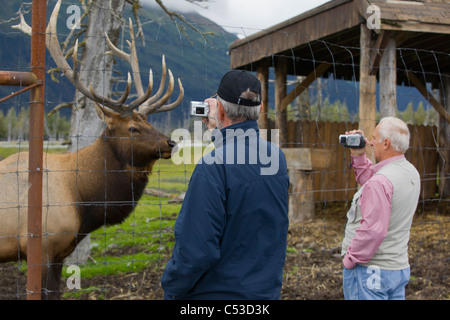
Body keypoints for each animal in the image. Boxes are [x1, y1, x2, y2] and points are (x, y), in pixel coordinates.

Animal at [0, 0, 183, 300]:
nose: (171, 143)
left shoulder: (60, 253)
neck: (82, 199)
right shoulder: (41, 247)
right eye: (133, 128)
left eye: (150, 122)